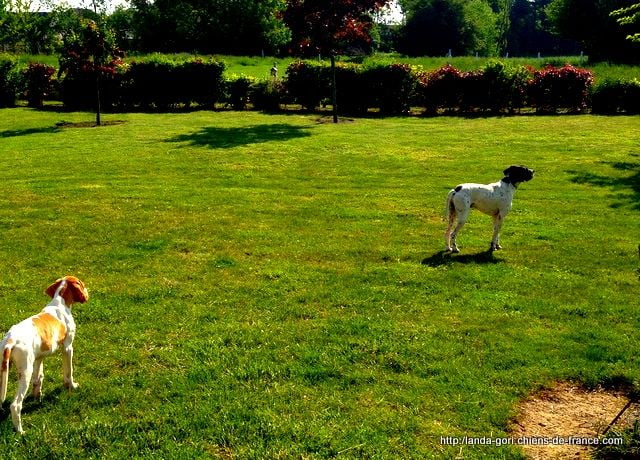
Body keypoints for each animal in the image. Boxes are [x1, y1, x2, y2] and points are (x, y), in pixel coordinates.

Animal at [0, 274, 88, 434]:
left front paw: (37, 397)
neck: (60, 303)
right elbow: (69, 372)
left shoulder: (38, 358)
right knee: (15, 405)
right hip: (25, 372)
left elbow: (39, 378)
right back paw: (20, 431)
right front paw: (72, 386)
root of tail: (10, 340)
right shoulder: (68, 348)